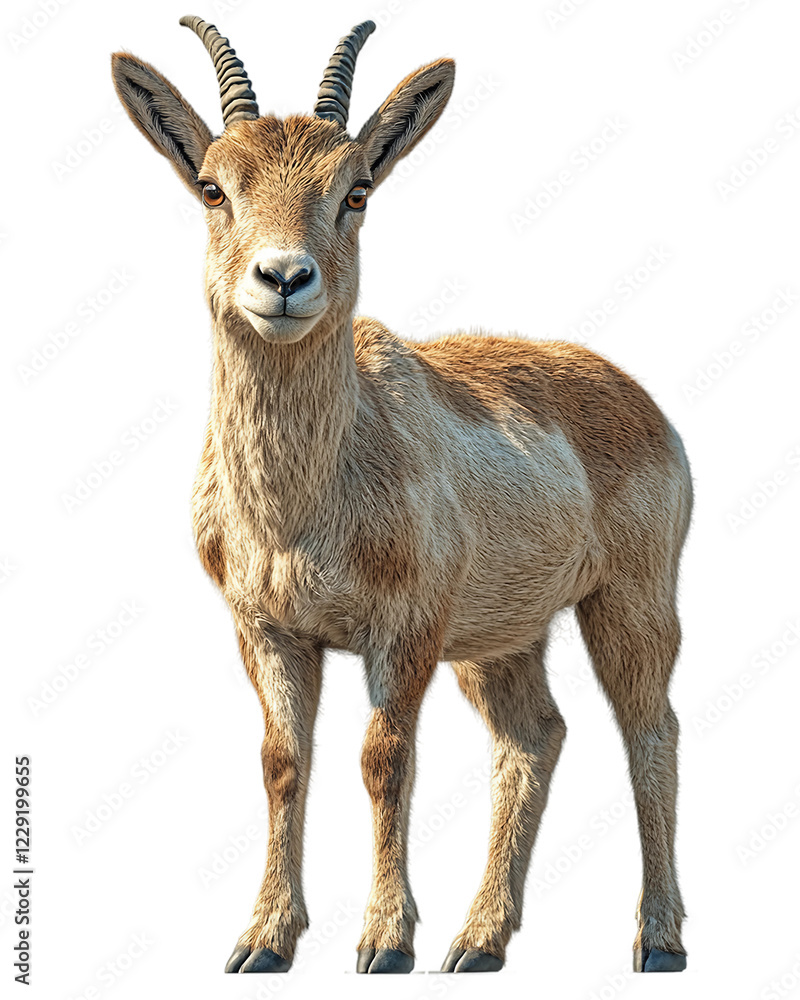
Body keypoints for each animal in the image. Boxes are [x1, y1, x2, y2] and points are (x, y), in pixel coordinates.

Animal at [111, 15, 692, 975]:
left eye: (355, 190)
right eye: (212, 186)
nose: (283, 279)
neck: (306, 506)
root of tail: (635, 394)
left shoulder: (407, 628)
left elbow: (385, 758)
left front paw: (383, 941)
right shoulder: (269, 629)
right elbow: (281, 760)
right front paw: (263, 941)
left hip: (630, 600)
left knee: (652, 730)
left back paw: (659, 941)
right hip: (500, 638)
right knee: (534, 738)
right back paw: (479, 943)